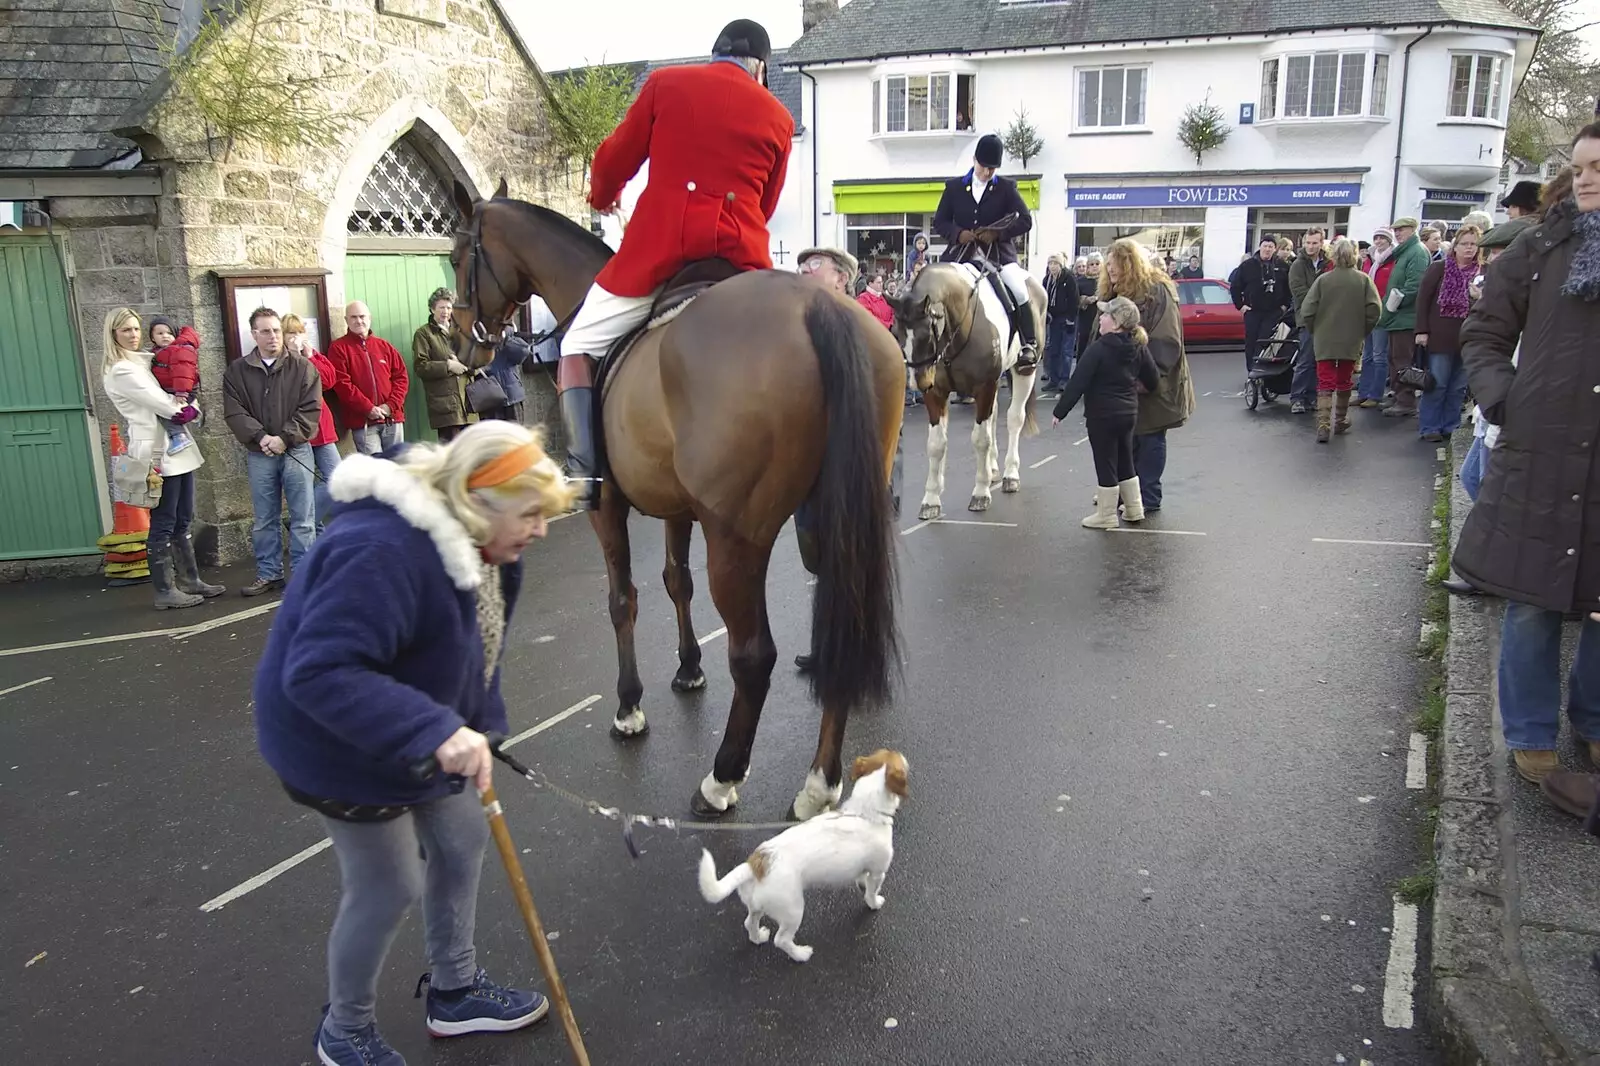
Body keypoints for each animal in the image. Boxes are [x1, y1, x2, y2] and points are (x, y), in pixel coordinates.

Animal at [444, 178, 908, 816]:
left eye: (456, 255)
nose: (466, 346)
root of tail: (819, 308)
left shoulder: (610, 507)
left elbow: (624, 600)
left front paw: (629, 706)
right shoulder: (677, 508)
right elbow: (674, 581)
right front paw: (689, 669)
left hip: (736, 538)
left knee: (753, 656)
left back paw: (723, 777)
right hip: (833, 524)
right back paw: (819, 782)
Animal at [694, 745, 908, 960]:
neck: (864, 811)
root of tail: (755, 864)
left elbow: (862, 878)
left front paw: (861, 884)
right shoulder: (878, 872)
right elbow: (872, 892)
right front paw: (874, 902)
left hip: (757, 906)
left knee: (749, 923)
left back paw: (758, 937)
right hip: (793, 911)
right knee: (781, 940)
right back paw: (800, 954)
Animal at [896, 260, 1043, 518]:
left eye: (926, 335)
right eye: (896, 333)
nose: (916, 384)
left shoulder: (984, 386)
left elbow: (981, 440)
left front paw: (981, 492)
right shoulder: (936, 392)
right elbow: (936, 444)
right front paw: (931, 498)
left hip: (1024, 371)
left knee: (1014, 418)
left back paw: (1010, 474)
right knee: (993, 416)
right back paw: (992, 468)